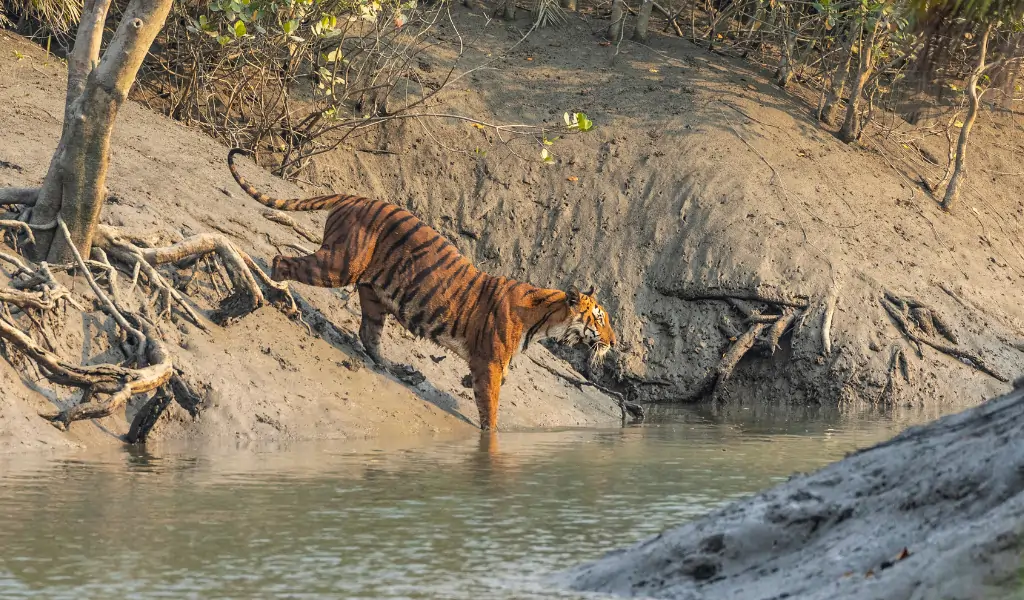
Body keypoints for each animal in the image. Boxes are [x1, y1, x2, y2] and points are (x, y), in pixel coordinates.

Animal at [226, 148, 618, 431]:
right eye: (599, 319)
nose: (614, 343)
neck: (544, 321)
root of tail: (353, 197)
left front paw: (464, 383)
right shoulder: (490, 363)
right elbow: (490, 408)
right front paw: (490, 436)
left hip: (373, 294)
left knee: (368, 334)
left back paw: (395, 369)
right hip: (339, 265)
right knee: (282, 260)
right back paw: (278, 293)